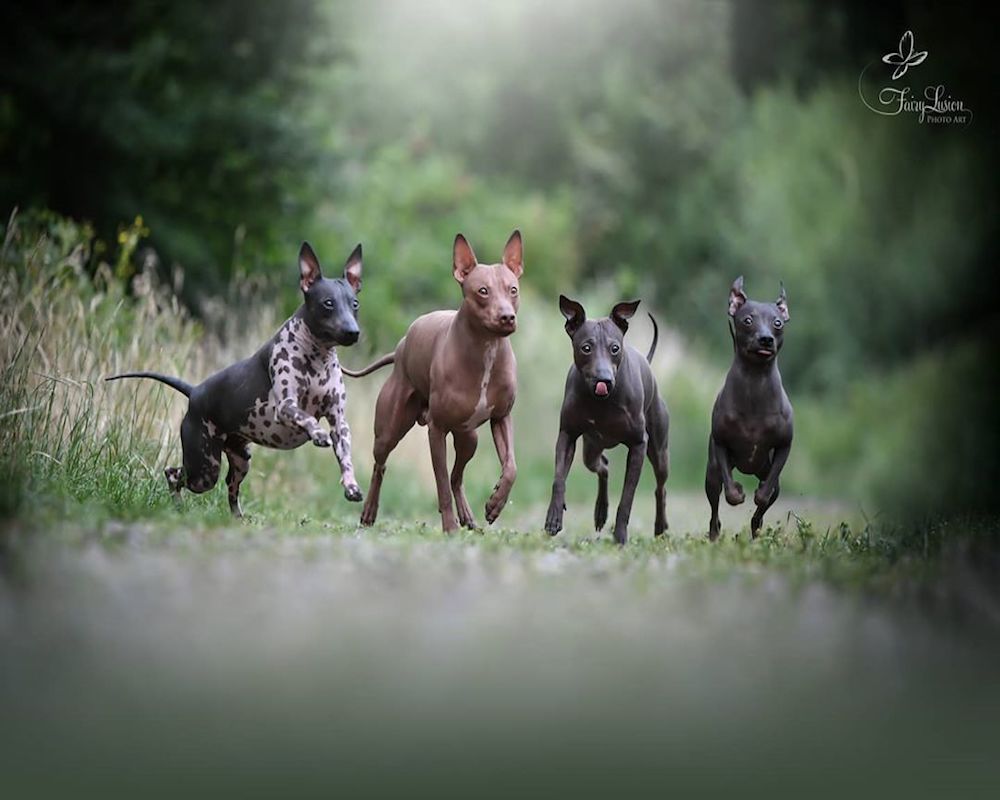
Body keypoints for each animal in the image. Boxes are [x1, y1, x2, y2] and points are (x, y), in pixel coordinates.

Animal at [107, 244, 364, 516]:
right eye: (328, 303)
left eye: (355, 303)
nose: (353, 332)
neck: (317, 357)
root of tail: (195, 391)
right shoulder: (286, 407)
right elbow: (305, 416)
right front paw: (317, 432)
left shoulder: (339, 423)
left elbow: (345, 457)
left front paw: (351, 485)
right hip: (204, 468)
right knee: (173, 474)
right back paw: (178, 507)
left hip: (240, 460)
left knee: (231, 487)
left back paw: (238, 518)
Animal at [344, 230, 524, 532]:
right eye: (483, 291)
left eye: (513, 290)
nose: (507, 317)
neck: (486, 349)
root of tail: (401, 347)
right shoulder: (436, 430)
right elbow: (439, 485)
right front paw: (449, 527)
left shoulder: (502, 418)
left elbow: (510, 467)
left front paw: (495, 504)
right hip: (388, 431)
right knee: (381, 466)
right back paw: (369, 512)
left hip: (469, 438)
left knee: (457, 476)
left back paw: (468, 516)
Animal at [544, 296, 668, 548]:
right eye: (586, 347)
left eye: (615, 348)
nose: (604, 379)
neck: (602, 401)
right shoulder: (567, 436)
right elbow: (559, 480)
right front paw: (553, 517)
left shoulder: (639, 446)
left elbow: (627, 498)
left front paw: (620, 536)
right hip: (590, 449)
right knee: (603, 466)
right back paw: (600, 511)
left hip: (659, 452)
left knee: (660, 489)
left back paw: (660, 527)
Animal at [708, 278, 792, 540]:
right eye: (747, 320)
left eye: (777, 323)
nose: (766, 339)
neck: (755, 382)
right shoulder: (720, 443)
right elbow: (730, 494)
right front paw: (737, 492)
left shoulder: (784, 446)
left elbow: (764, 496)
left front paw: (758, 498)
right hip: (711, 474)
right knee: (715, 508)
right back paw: (714, 533)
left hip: (767, 472)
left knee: (768, 499)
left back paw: (756, 528)